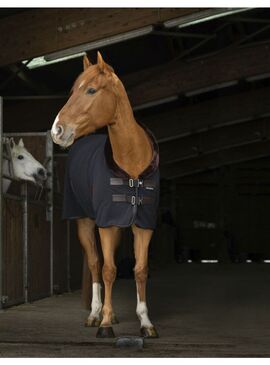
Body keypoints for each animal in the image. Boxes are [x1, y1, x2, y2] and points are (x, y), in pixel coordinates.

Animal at [51, 52, 158, 338]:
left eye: (90, 90)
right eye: (71, 91)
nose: (57, 131)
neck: (132, 165)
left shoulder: (143, 225)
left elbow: (140, 270)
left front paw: (145, 322)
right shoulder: (105, 224)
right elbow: (108, 270)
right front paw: (106, 322)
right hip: (86, 222)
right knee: (95, 263)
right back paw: (95, 314)